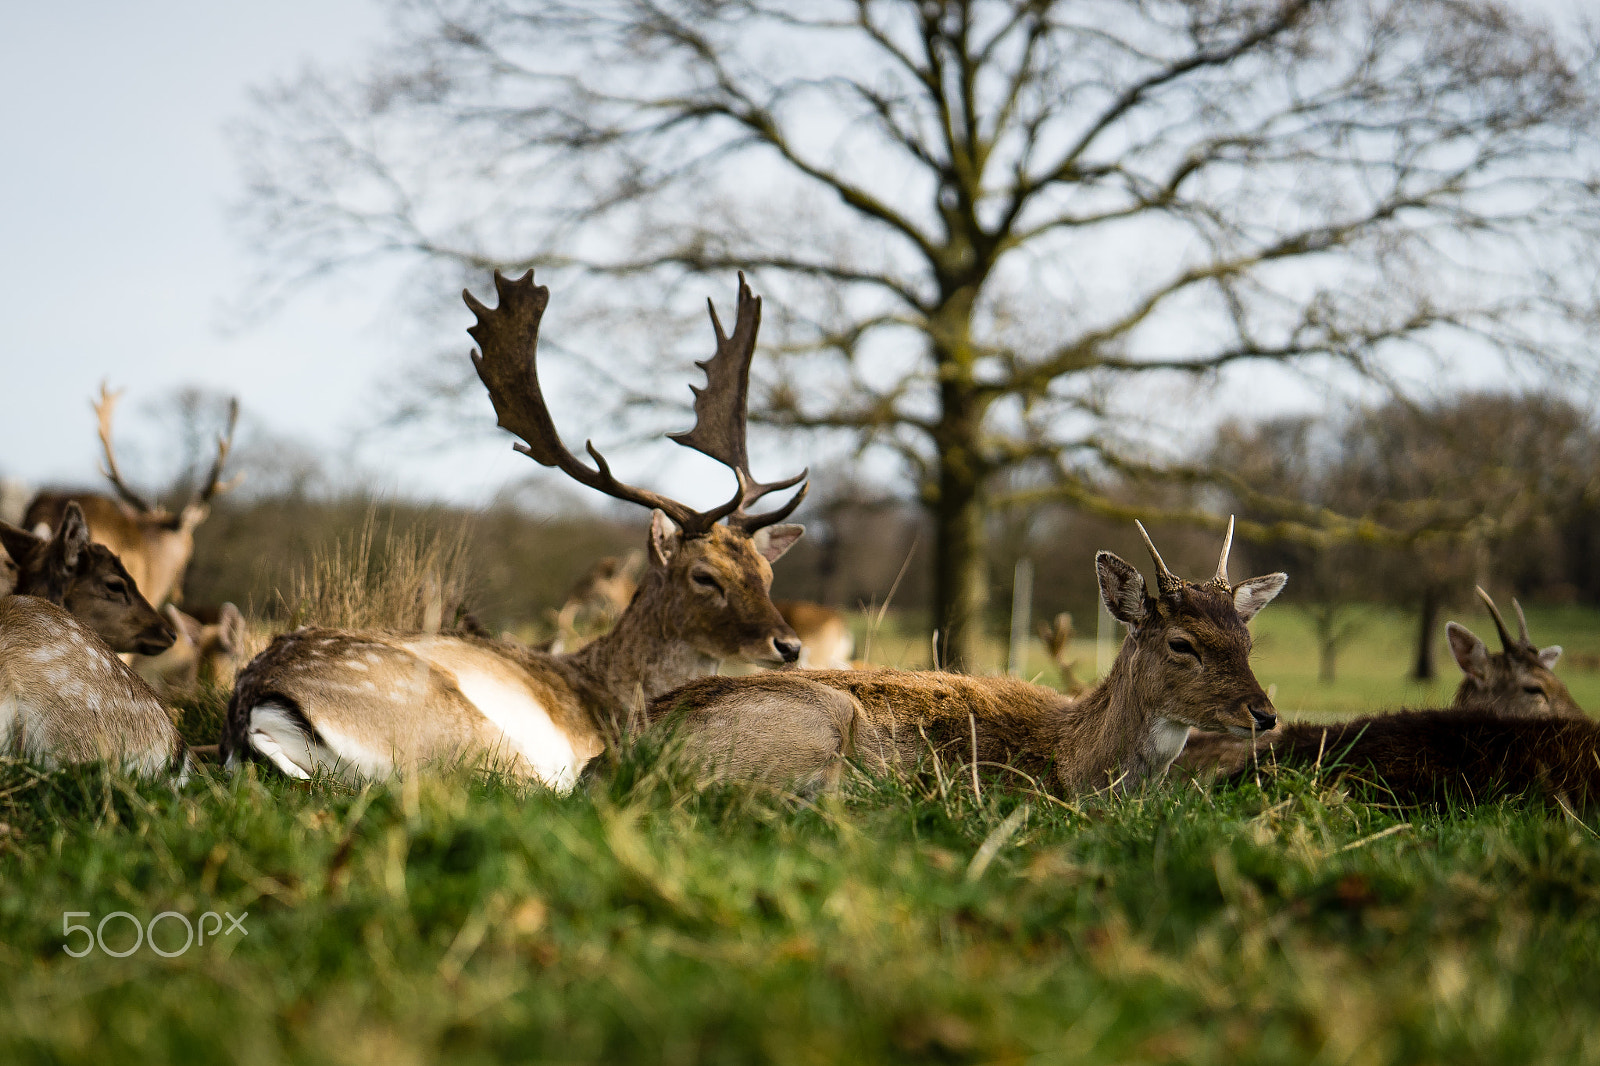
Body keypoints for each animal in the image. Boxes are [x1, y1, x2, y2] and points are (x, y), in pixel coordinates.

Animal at [219, 272, 806, 787]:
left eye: (766, 573)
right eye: (704, 576)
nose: (790, 646)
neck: (608, 691)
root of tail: (254, 712)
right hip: (459, 726)